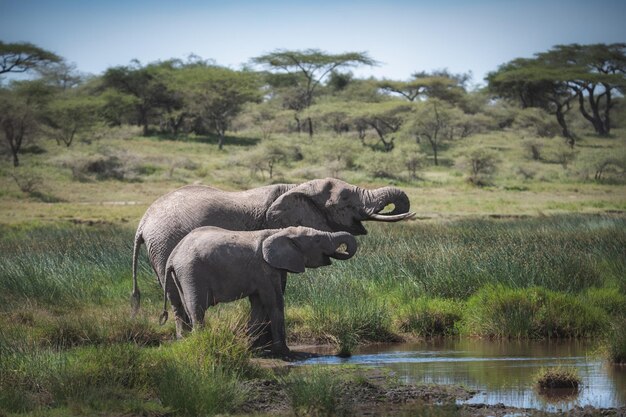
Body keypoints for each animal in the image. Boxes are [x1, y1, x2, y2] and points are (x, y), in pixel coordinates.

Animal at [130, 178, 414, 338]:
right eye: (345, 199)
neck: (296, 187)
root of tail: (143, 221)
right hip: (165, 244)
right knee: (176, 297)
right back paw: (187, 340)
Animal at [161, 226, 356, 352]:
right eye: (317, 240)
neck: (279, 232)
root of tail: (173, 256)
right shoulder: (264, 269)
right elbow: (274, 303)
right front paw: (284, 353)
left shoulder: (268, 269)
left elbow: (259, 305)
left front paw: (252, 347)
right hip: (191, 272)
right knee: (197, 308)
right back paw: (201, 341)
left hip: (182, 275)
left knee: (185, 307)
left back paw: (186, 340)